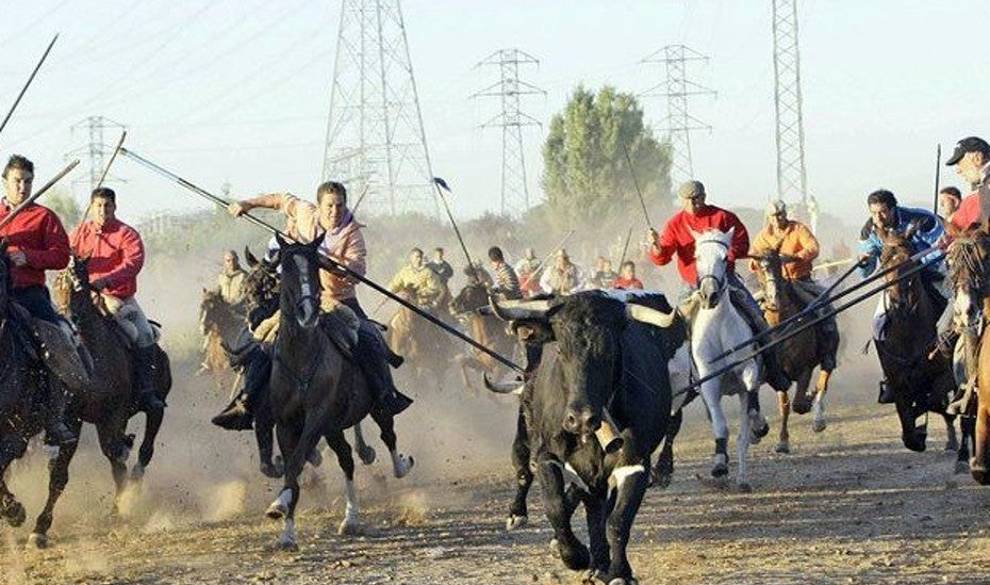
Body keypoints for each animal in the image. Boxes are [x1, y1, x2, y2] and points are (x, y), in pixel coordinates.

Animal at [492, 292, 684, 584]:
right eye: (561, 349)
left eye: (609, 351)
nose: (580, 418)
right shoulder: (548, 456)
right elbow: (556, 507)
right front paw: (576, 555)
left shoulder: (635, 463)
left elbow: (617, 520)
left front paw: (619, 572)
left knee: (601, 511)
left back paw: (602, 563)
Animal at [688, 226, 776, 490]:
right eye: (696, 256)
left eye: (725, 257)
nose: (710, 295)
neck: (718, 326)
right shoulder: (709, 382)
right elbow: (721, 425)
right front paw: (719, 464)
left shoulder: (748, 368)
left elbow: (751, 388)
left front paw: (757, 425)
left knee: (746, 426)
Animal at [760, 251, 836, 452]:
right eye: (761, 269)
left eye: (779, 267)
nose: (775, 299)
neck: (782, 326)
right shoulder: (779, 376)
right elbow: (785, 406)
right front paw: (782, 441)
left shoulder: (805, 369)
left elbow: (799, 404)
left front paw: (809, 400)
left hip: (828, 356)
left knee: (824, 378)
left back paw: (818, 419)